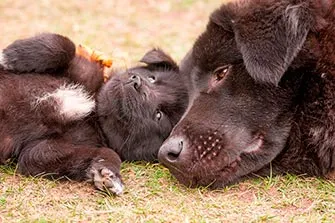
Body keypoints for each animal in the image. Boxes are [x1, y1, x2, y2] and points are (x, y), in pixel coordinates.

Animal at [0, 32, 189, 193]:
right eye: (152, 78)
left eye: (159, 114)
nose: (137, 83)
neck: (94, 111)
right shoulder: (82, 68)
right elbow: (63, 44)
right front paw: (9, 56)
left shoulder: (41, 149)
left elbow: (106, 152)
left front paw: (108, 173)